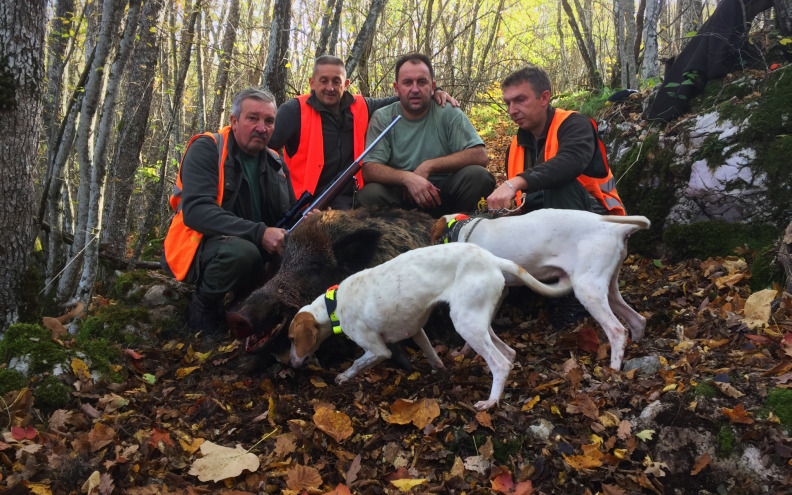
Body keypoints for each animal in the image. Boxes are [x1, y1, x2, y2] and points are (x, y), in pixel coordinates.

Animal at [288, 243, 572, 410]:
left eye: (290, 339)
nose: (289, 364)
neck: (333, 304)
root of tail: (492, 258)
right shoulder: (415, 331)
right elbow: (433, 355)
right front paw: (440, 371)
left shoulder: (378, 350)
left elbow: (358, 363)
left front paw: (343, 377)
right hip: (477, 319)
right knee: (509, 353)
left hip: (465, 323)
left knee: (500, 363)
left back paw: (491, 401)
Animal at [434, 207, 648, 370]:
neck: (465, 229)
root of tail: (615, 228)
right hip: (607, 288)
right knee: (637, 320)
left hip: (587, 289)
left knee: (617, 330)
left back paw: (613, 371)